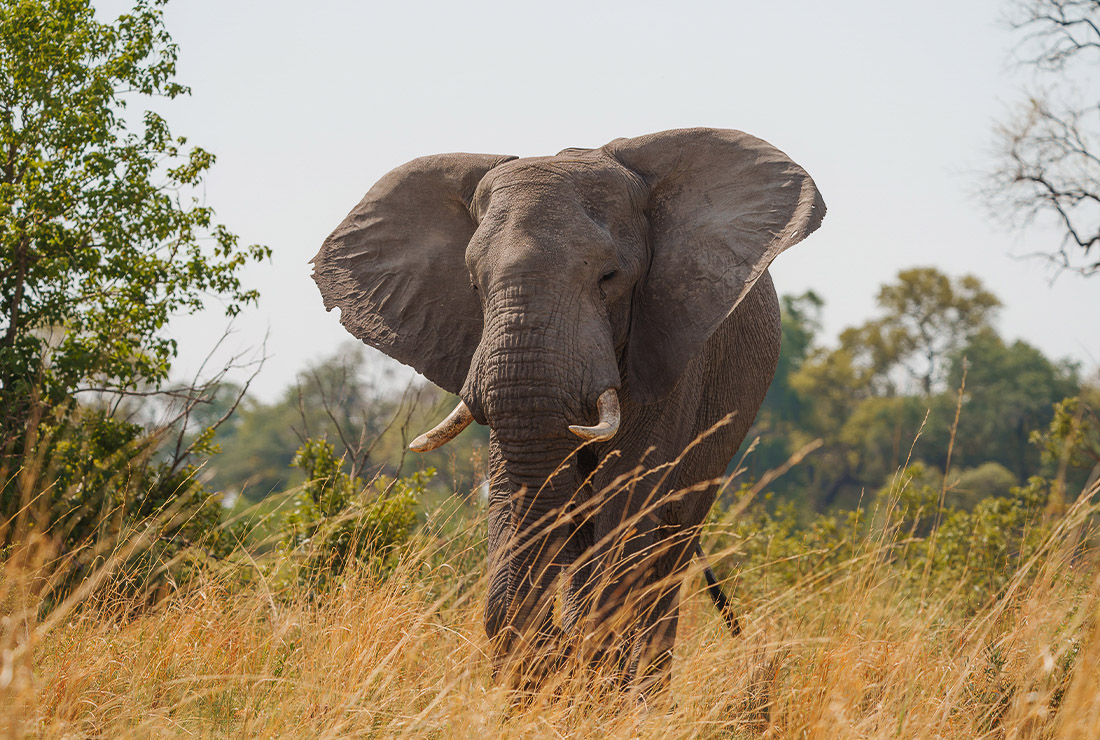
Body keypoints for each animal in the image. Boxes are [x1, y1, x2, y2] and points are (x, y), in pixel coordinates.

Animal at [311, 127, 825, 696]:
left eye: (609, 277)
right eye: (473, 284)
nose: (553, 649)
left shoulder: (668, 350)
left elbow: (627, 501)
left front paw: (586, 677)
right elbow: (518, 494)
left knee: (668, 545)